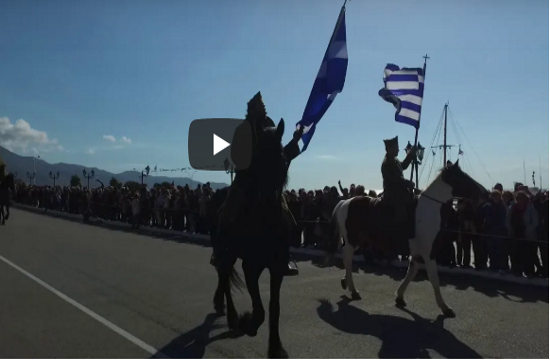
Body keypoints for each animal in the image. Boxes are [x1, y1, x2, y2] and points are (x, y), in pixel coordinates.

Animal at [213, 117, 296, 358]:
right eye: (256, 160)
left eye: (282, 159)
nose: (268, 200)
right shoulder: (251, 266)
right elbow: (259, 310)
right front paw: (247, 322)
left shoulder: (277, 267)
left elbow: (274, 308)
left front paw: (276, 347)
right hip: (226, 253)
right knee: (223, 276)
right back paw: (231, 316)